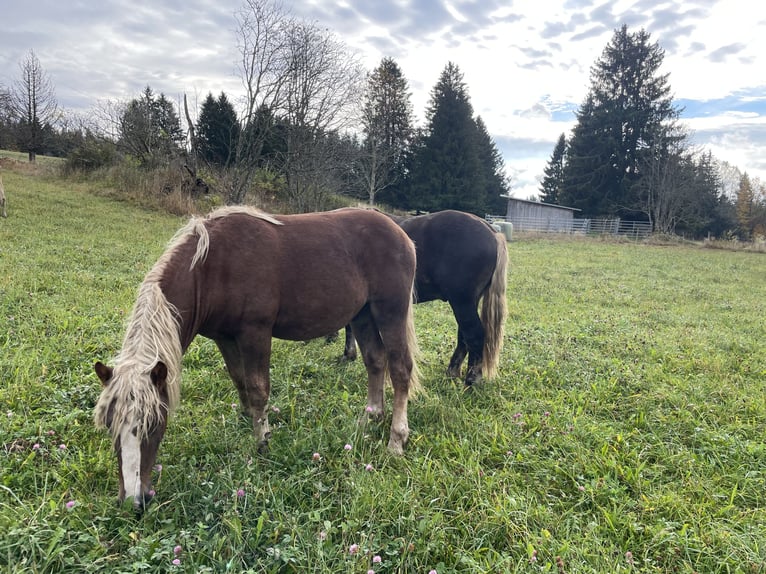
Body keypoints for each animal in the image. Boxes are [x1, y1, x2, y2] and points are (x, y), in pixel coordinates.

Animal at [97, 206, 420, 508]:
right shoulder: (225, 337)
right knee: (375, 361)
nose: (133, 500)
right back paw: (371, 417)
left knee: (400, 369)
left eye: (152, 423)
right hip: (362, 314)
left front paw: (262, 440)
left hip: (389, 311)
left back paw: (396, 440)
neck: (211, 267)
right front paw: (247, 419)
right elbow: (239, 379)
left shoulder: (256, 333)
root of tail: (400, 233)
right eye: (110, 425)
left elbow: (258, 387)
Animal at [340, 210, 508, 388]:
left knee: (474, 335)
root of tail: (493, 233)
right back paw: (452, 371)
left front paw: (348, 354)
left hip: (463, 302)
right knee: (464, 336)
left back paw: (471, 380)